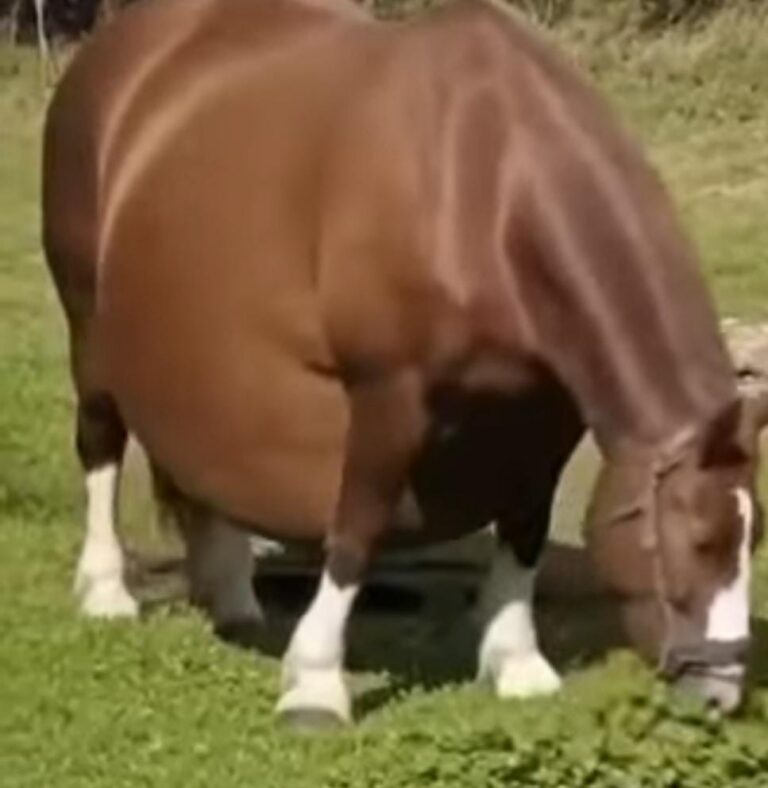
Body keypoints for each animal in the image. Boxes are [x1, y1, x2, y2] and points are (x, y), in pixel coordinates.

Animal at [42, 0, 768, 726]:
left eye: (750, 540)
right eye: (699, 540)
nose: (720, 693)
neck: (484, 191)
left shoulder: (547, 416)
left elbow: (525, 529)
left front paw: (517, 662)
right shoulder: (389, 394)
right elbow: (358, 526)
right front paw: (315, 682)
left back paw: (232, 592)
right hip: (89, 327)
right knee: (102, 443)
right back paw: (106, 591)